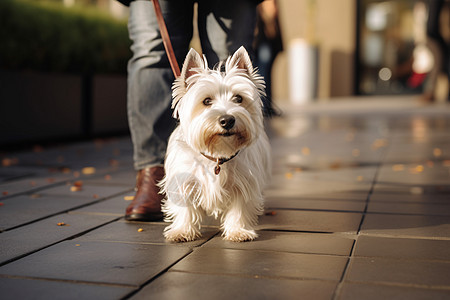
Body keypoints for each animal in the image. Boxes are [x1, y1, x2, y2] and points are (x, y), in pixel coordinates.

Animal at [160, 47, 270, 244]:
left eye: (238, 98)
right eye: (206, 101)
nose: (227, 120)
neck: (217, 155)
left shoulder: (243, 183)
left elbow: (239, 209)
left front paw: (238, 231)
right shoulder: (184, 181)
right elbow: (185, 208)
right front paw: (182, 231)